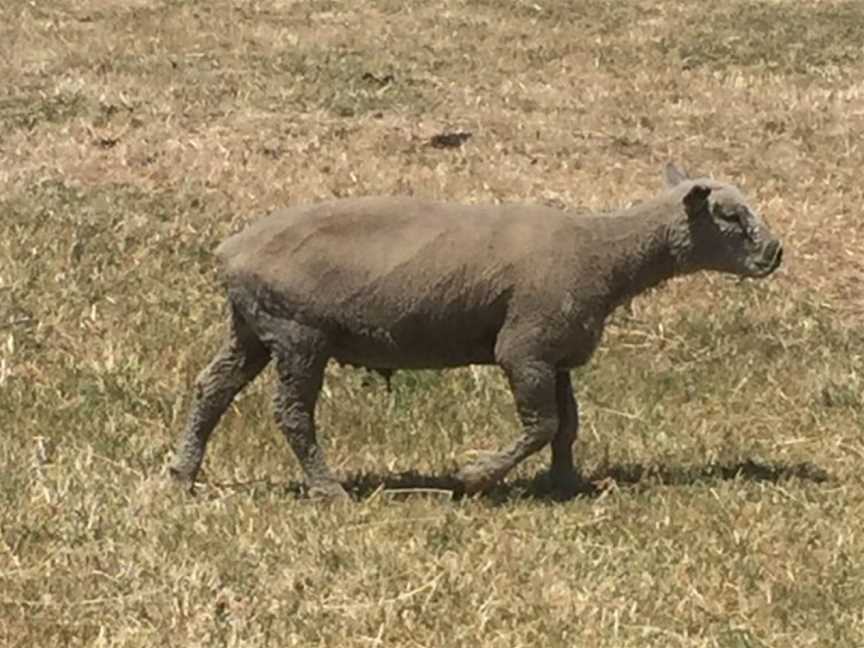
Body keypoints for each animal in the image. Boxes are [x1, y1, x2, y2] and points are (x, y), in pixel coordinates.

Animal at [167, 162, 784, 496]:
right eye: (731, 216)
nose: (775, 253)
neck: (606, 255)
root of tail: (230, 253)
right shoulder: (525, 346)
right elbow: (541, 424)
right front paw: (473, 477)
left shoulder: (555, 352)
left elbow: (567, 426)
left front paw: (566, 483)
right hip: (298, 332)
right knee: (292, 414)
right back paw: (328, 488)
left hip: (252, 327)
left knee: (212, 389)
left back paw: (181, 474)